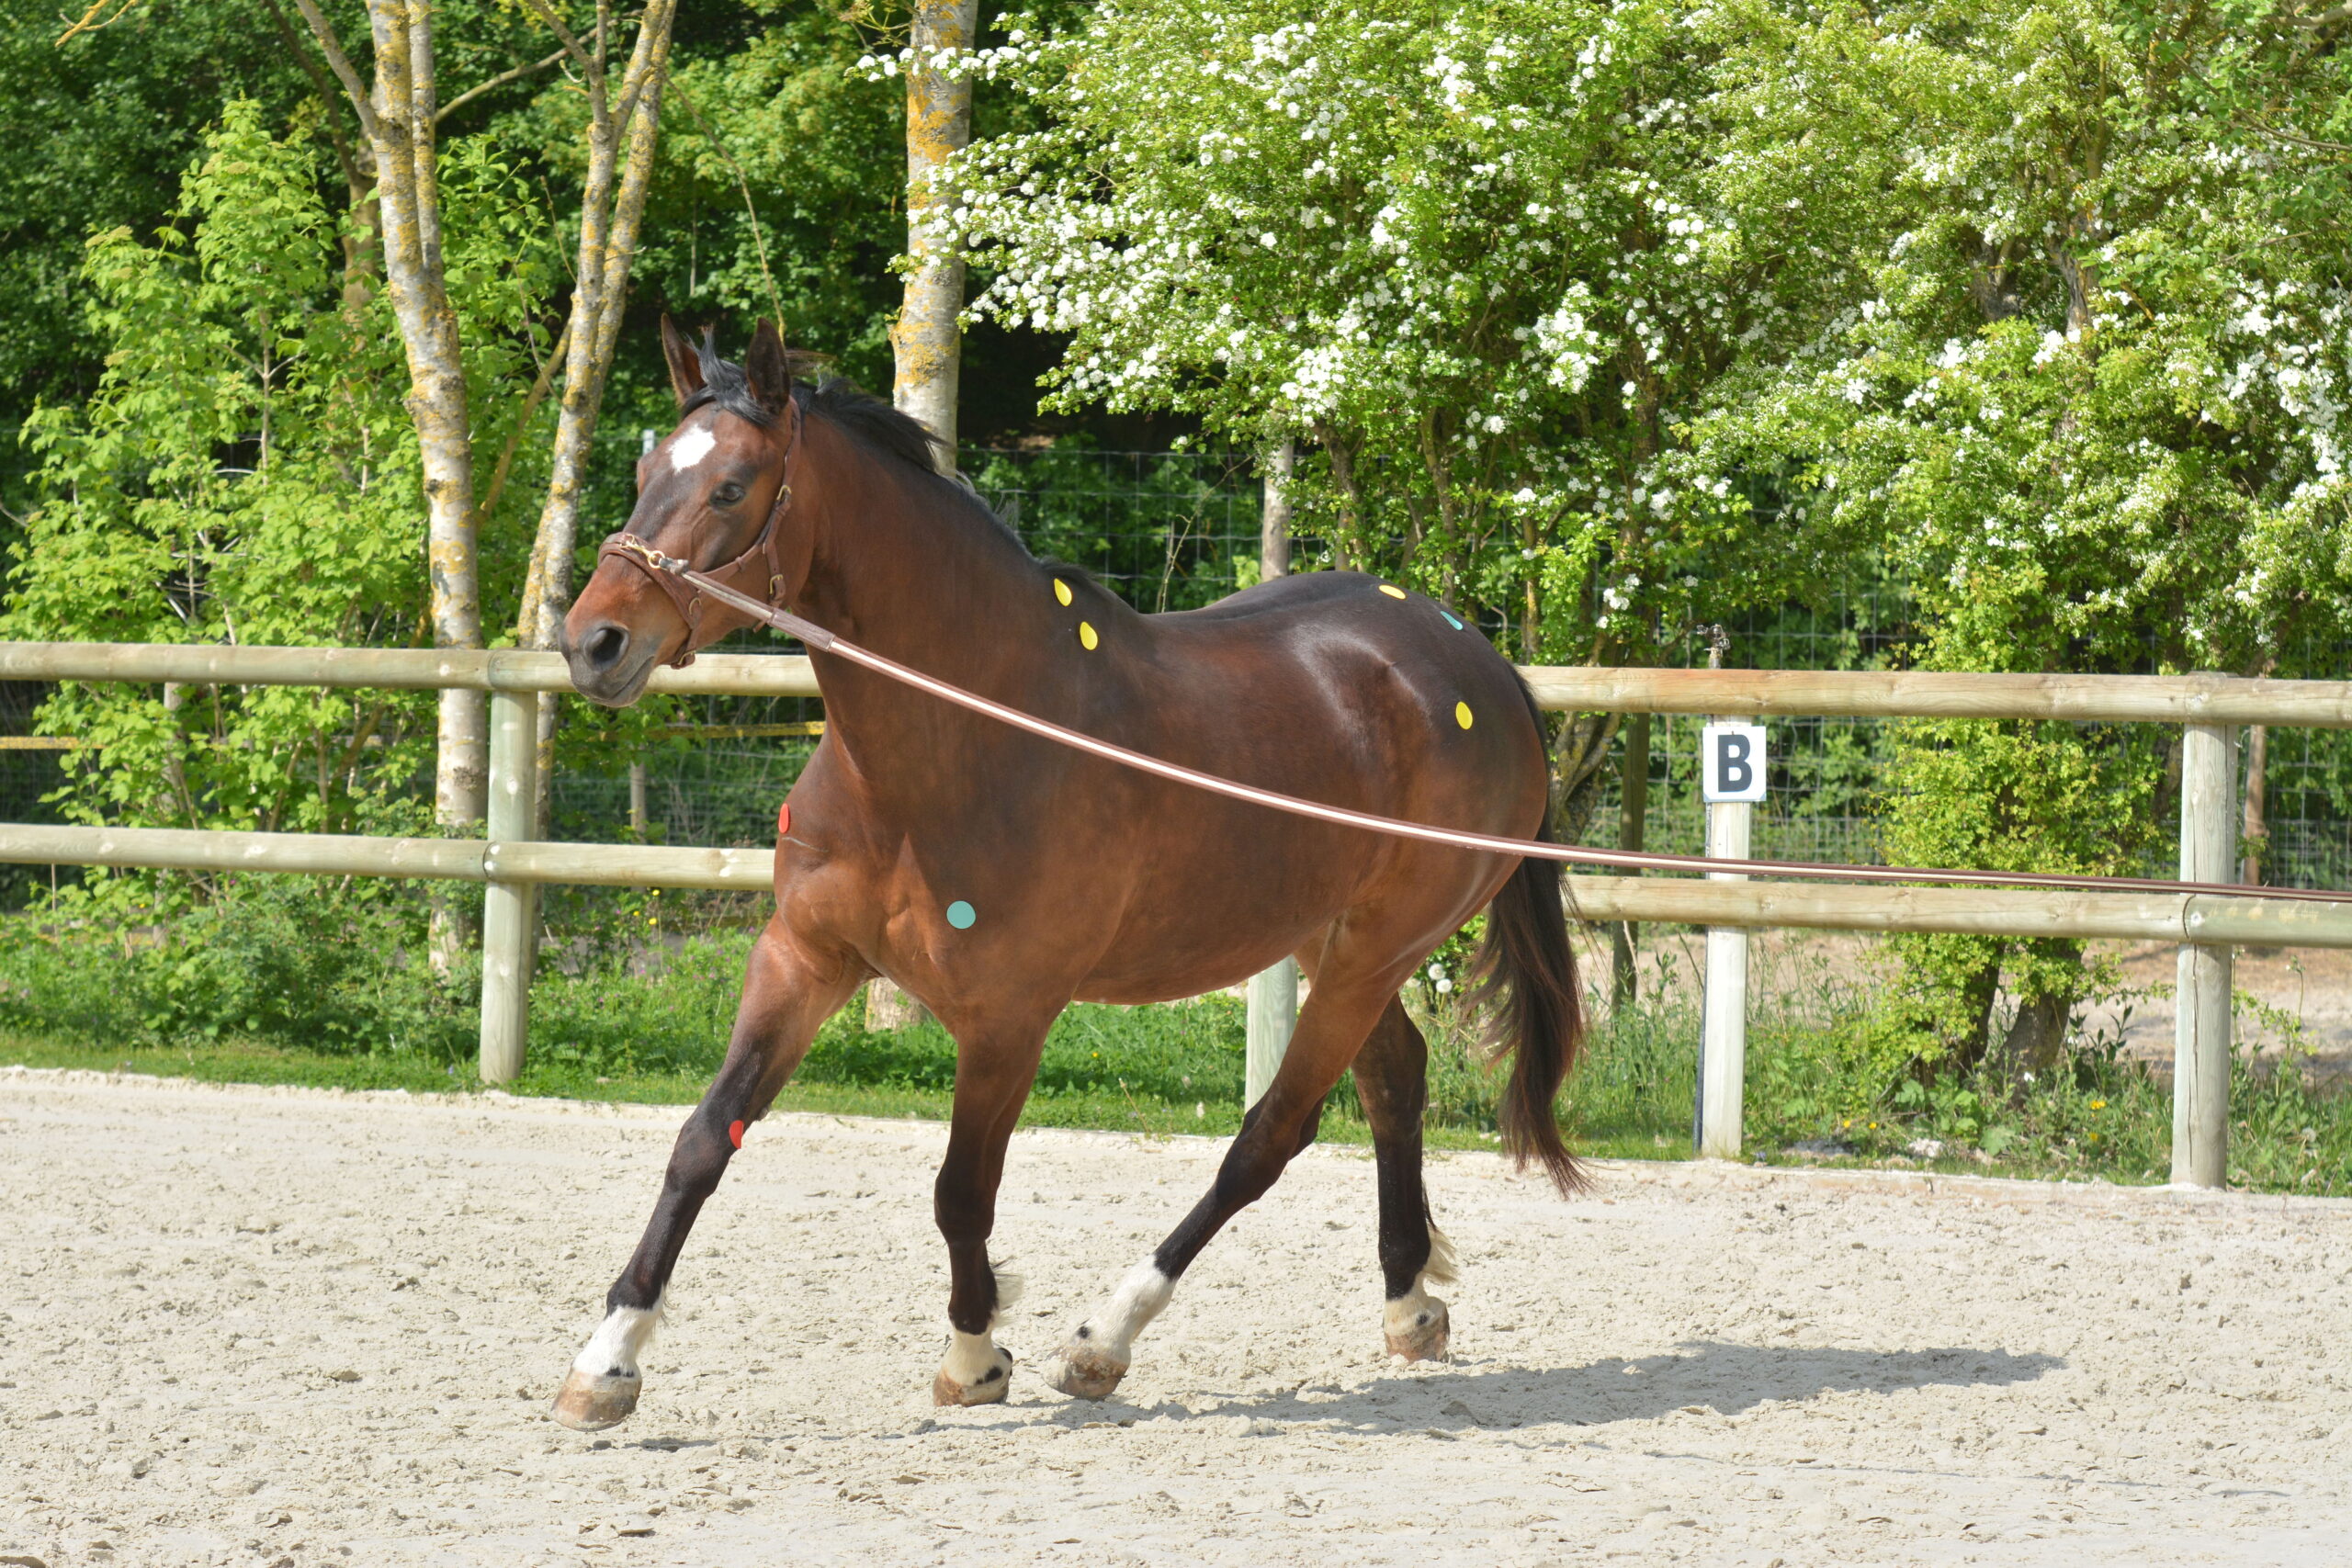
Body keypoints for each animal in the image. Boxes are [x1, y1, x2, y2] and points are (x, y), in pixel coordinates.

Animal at [549, 317, 1584, 1428]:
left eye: (732, 488)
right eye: (647, 472)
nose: (592, 641)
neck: (963, 734)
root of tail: (1478, 662)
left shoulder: (1008, 1015)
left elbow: (961, 1189)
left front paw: (975, 1357)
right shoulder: (802, 959)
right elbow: (704, 1140)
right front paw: (606, 1362)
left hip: (1373, 951)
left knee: (1272, 1132)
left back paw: (1106, 1338)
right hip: (1333, 942)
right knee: (1394, 1077)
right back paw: (1408, 1304)